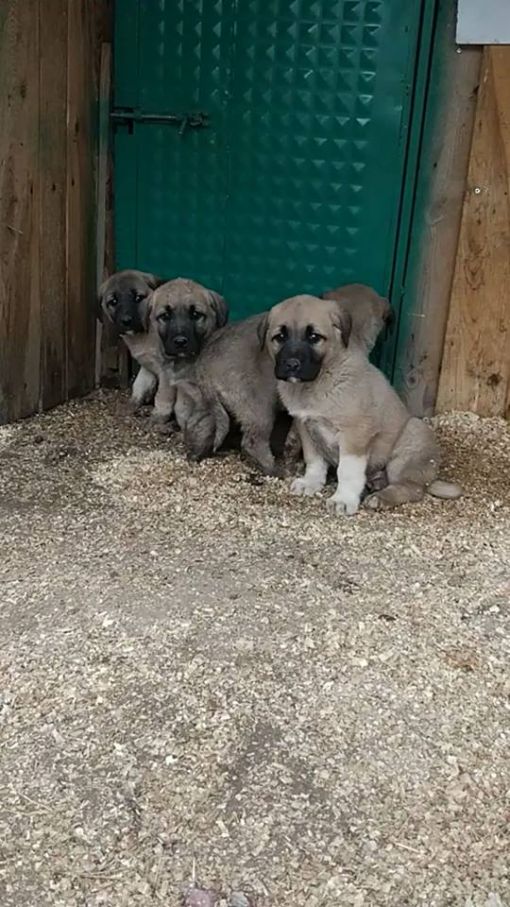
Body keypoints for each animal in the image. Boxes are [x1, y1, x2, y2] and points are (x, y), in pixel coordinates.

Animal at [147, 278, 227, 424]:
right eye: (165, 316)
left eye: (195, 314)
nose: (180, 342)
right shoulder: (166, 374)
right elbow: (163, 394)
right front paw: (160, 413)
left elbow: (185, 406)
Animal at [260, 294, 460, 516]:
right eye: (280, 337)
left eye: (314, 337)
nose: (292, 364)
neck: (318, 382)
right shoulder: (306, 426)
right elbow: (314, 459)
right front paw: (311, 482)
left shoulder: (355, 432)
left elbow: (348, 470)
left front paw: (343, 499)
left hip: (412, 437)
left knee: (411, 488)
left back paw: (381, 497)